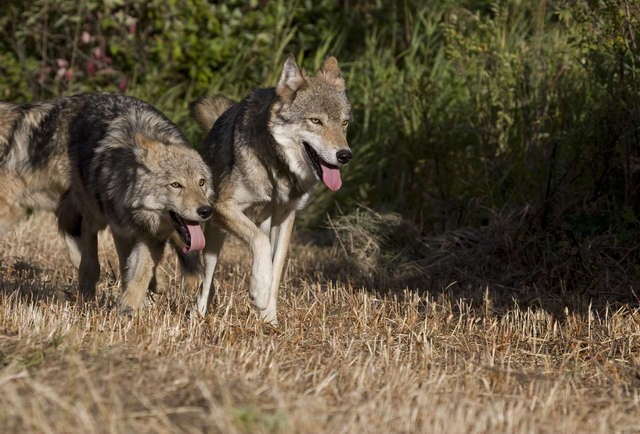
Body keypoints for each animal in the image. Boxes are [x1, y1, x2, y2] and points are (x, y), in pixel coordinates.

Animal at [0, 95, 215, 312]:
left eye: (201, 182)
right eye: (176, 185)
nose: (206, 210)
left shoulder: (152, 236)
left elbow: (141, 272)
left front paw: (130, 306)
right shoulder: (122, 231)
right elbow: (128, 267)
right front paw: (128, 307)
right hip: (92, 213)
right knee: (89, 256)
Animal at [192, 56, 352, 324]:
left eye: (344, 123)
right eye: (316, 121)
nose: (345, 155)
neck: (278, 170)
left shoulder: (286, 218)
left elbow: (276, 268)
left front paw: (270, 318)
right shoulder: (224, 206)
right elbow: (260, 245)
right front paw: (258, 290)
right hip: (214, 237)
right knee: (205, 283)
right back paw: (198, 318)